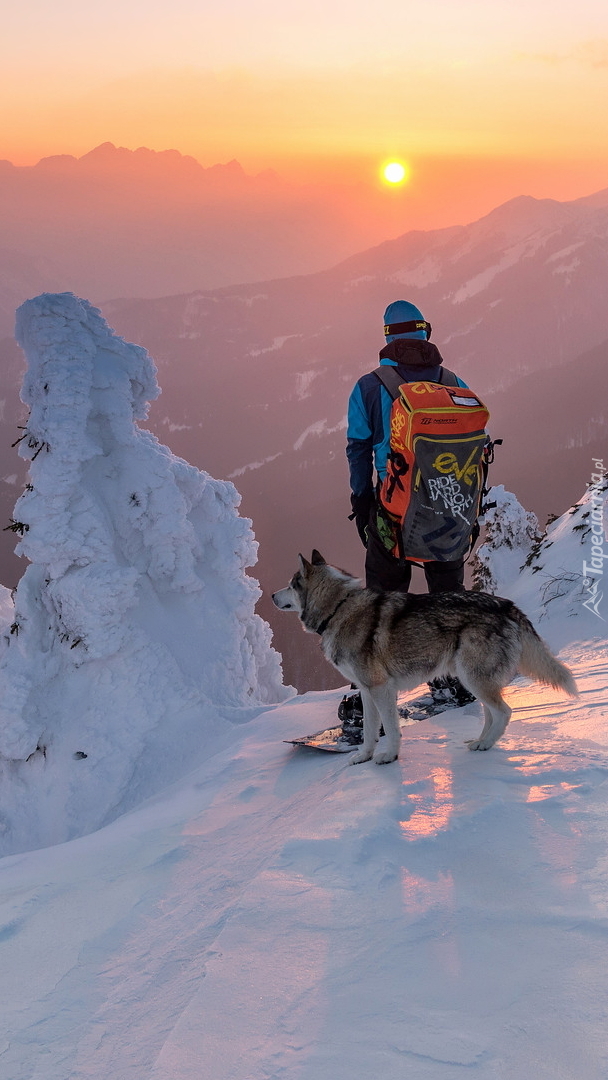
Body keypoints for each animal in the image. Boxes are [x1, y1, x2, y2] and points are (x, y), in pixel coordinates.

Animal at [272, 548, 578, 768]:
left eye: (290, 585)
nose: (273, 595)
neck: (338, 607)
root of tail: (507, 605)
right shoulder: (368, 691)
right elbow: (370, 730)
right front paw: (363, 757)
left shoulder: (381, 689)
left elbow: (391, 728)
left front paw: (390, 757)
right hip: (472, 677)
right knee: (490, 713)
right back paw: (479, 741)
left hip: (474, 677)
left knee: (504, 712)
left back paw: (486, 745)